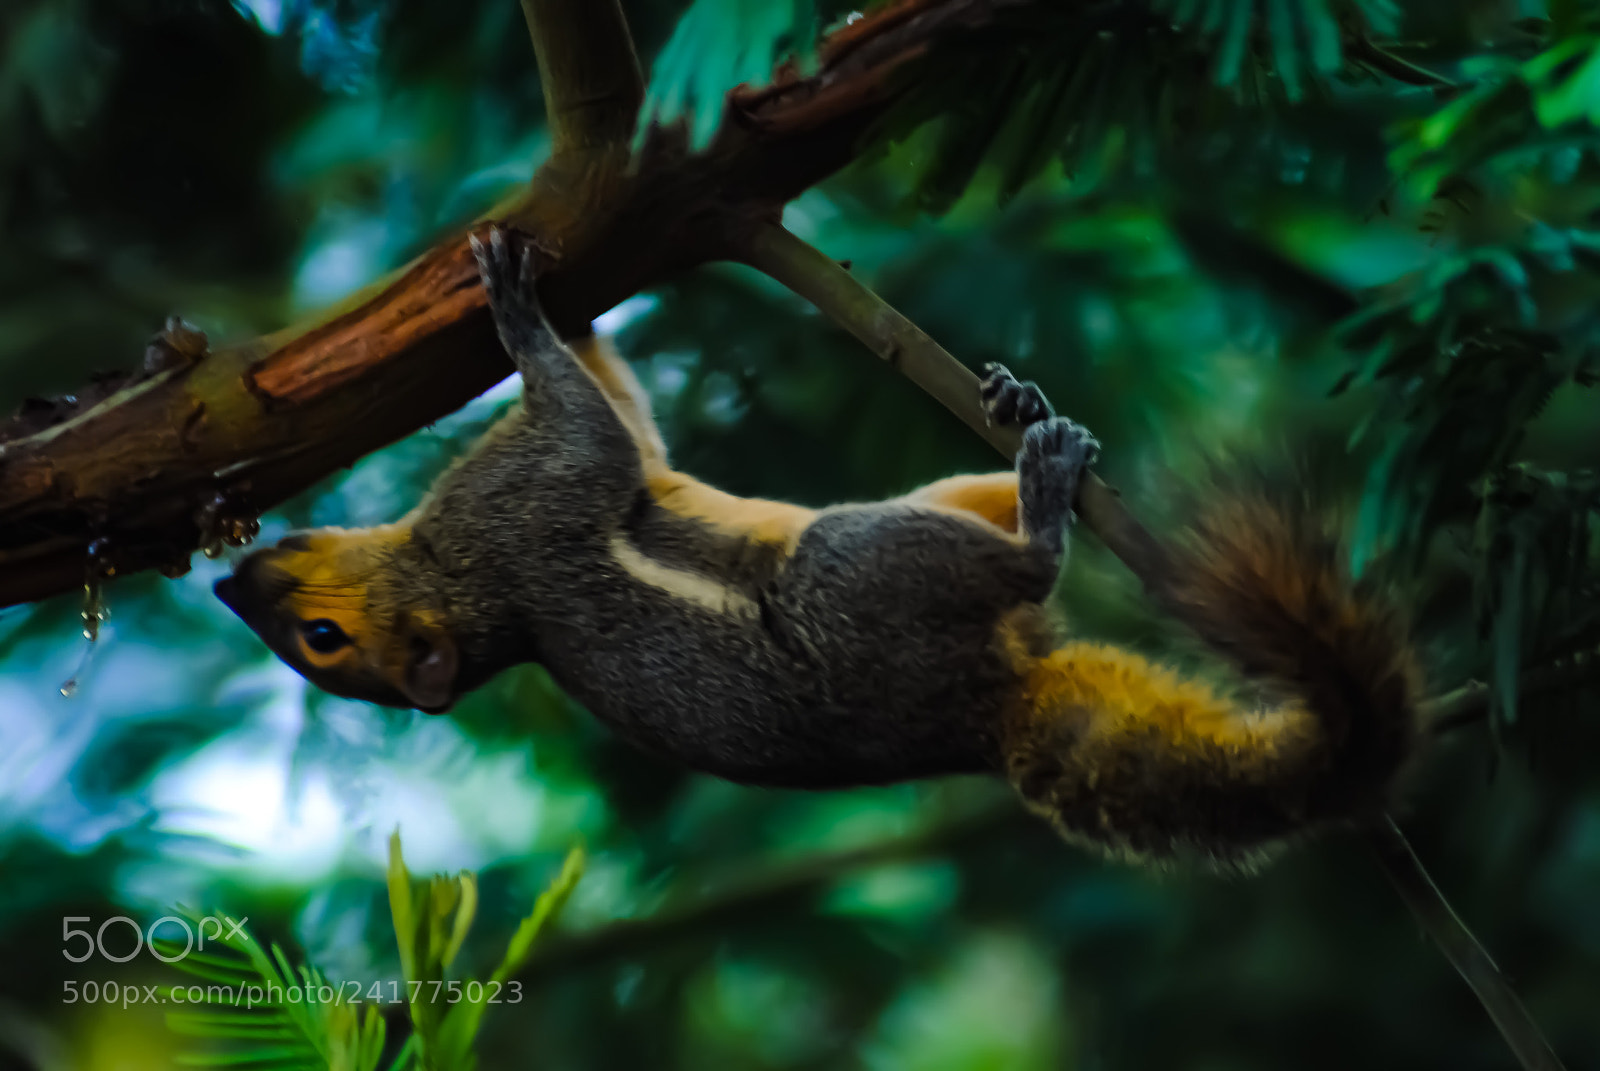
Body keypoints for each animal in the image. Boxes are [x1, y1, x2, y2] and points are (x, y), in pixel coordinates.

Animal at [216, 227, 1424, 868]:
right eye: (323, 641)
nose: (231, 581)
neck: (453, 581)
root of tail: (983, 708)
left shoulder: (561, 488)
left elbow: (627, 420)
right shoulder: (522, 510)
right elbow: (592, 434)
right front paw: (516, 310)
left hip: (927, 507)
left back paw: (1025, 410)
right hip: (853, 573)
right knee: (1023, 568)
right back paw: (1045, 500)